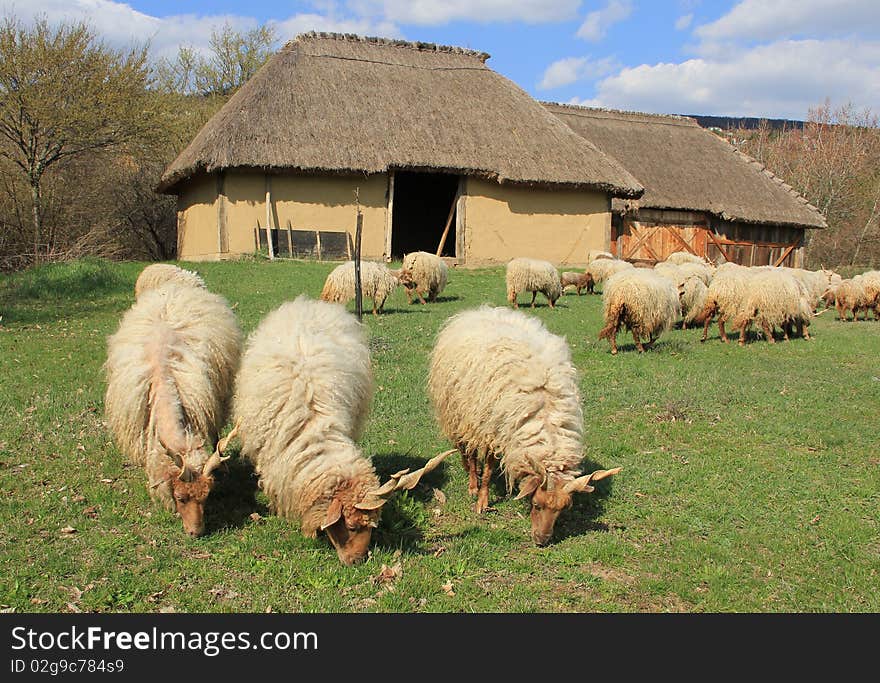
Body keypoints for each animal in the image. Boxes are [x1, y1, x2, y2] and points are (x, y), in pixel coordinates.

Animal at [426, 304, 620, 544]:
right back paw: (472, 482)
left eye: (563, 509)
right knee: (466, 450)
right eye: (536, 504)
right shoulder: (494, 430)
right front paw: (482, 501)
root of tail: (478, 310)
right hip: (459, 411)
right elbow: (488, 469)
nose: (542, 541)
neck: (545, 415)